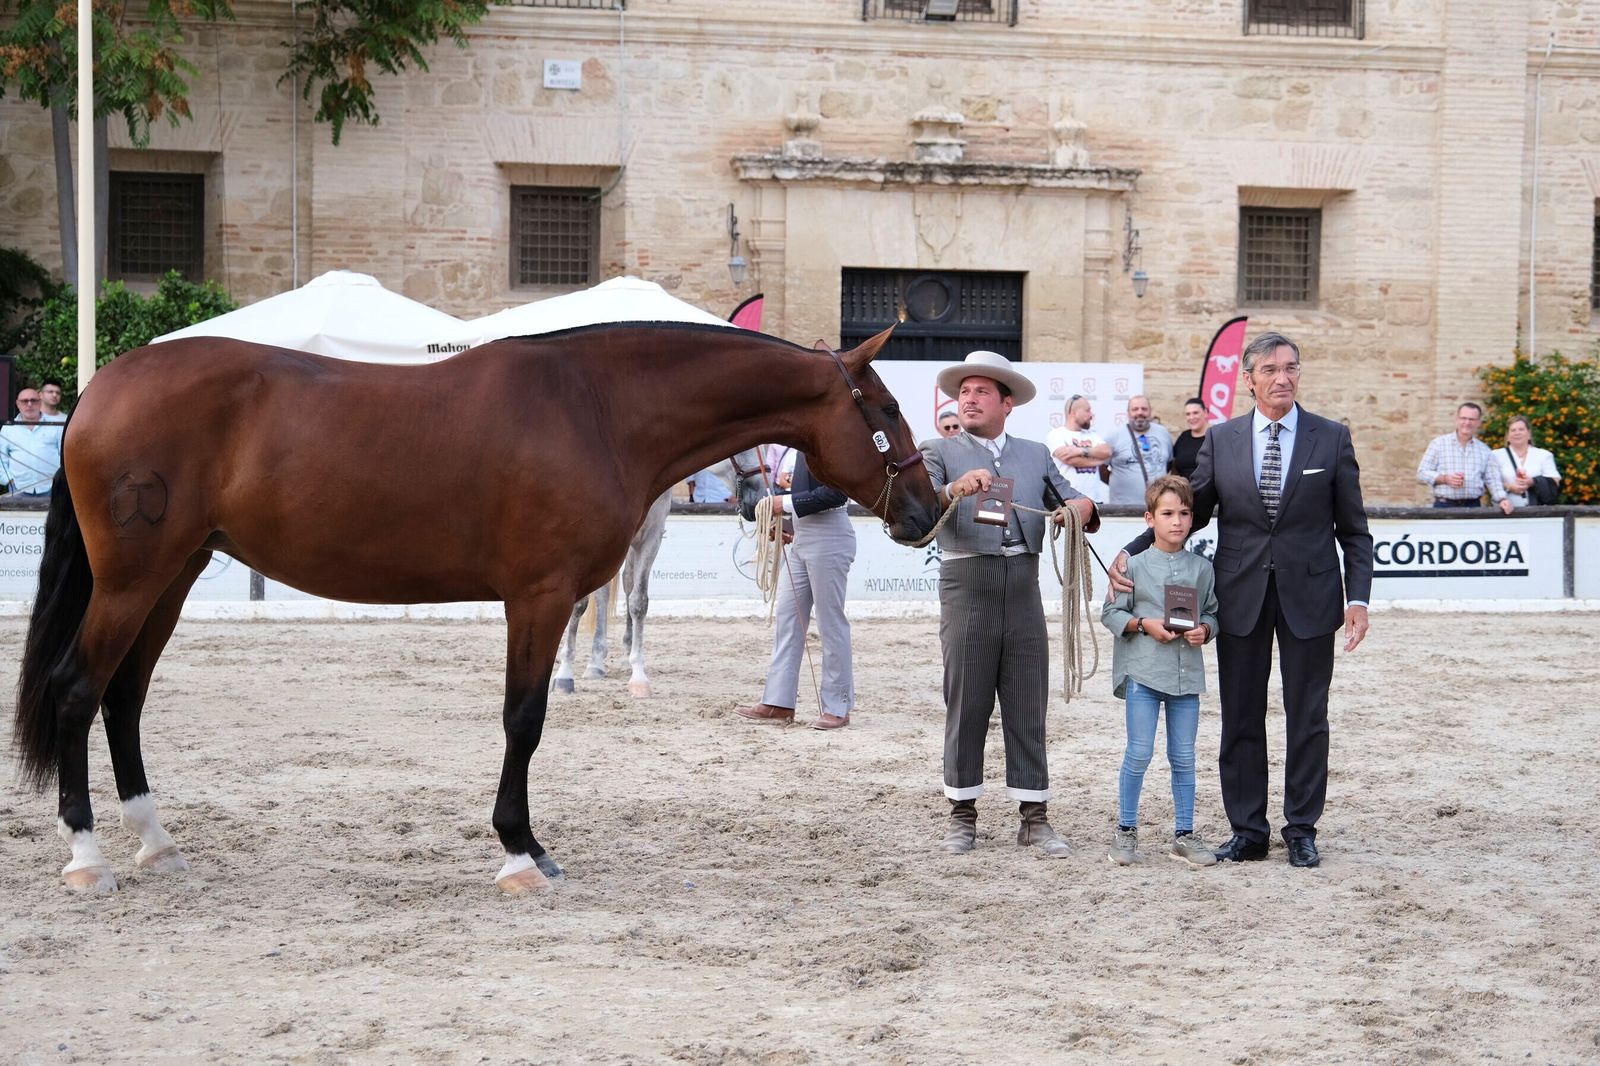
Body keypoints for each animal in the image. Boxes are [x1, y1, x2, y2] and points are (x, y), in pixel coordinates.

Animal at [552, 448, 764, 698]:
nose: (760, 498)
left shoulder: (651, 536)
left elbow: (638, 601)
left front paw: (638, 676)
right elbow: (579, 604)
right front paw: (564, 674)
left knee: (626, 583)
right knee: (603, 592)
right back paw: (595, 662)